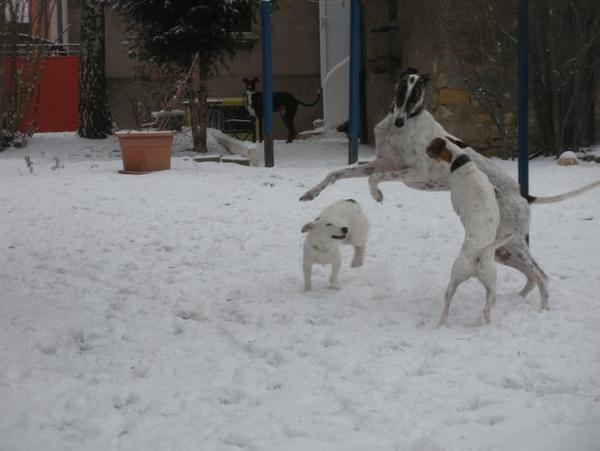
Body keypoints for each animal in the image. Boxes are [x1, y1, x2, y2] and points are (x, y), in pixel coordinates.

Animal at [300, 67, 600, 310]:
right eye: (400, 91)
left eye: (415, 96)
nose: (399, 120)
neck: (401, 128)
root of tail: (523, 194)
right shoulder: (377, 163)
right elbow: (336, 173)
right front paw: (311, 193)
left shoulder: (413, 171)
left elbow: (374, 180)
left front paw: (376, 195)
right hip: (501, 250)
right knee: (530, 274)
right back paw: (521, 298)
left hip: (511, 243)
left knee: (541, 274)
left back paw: (542, 307)